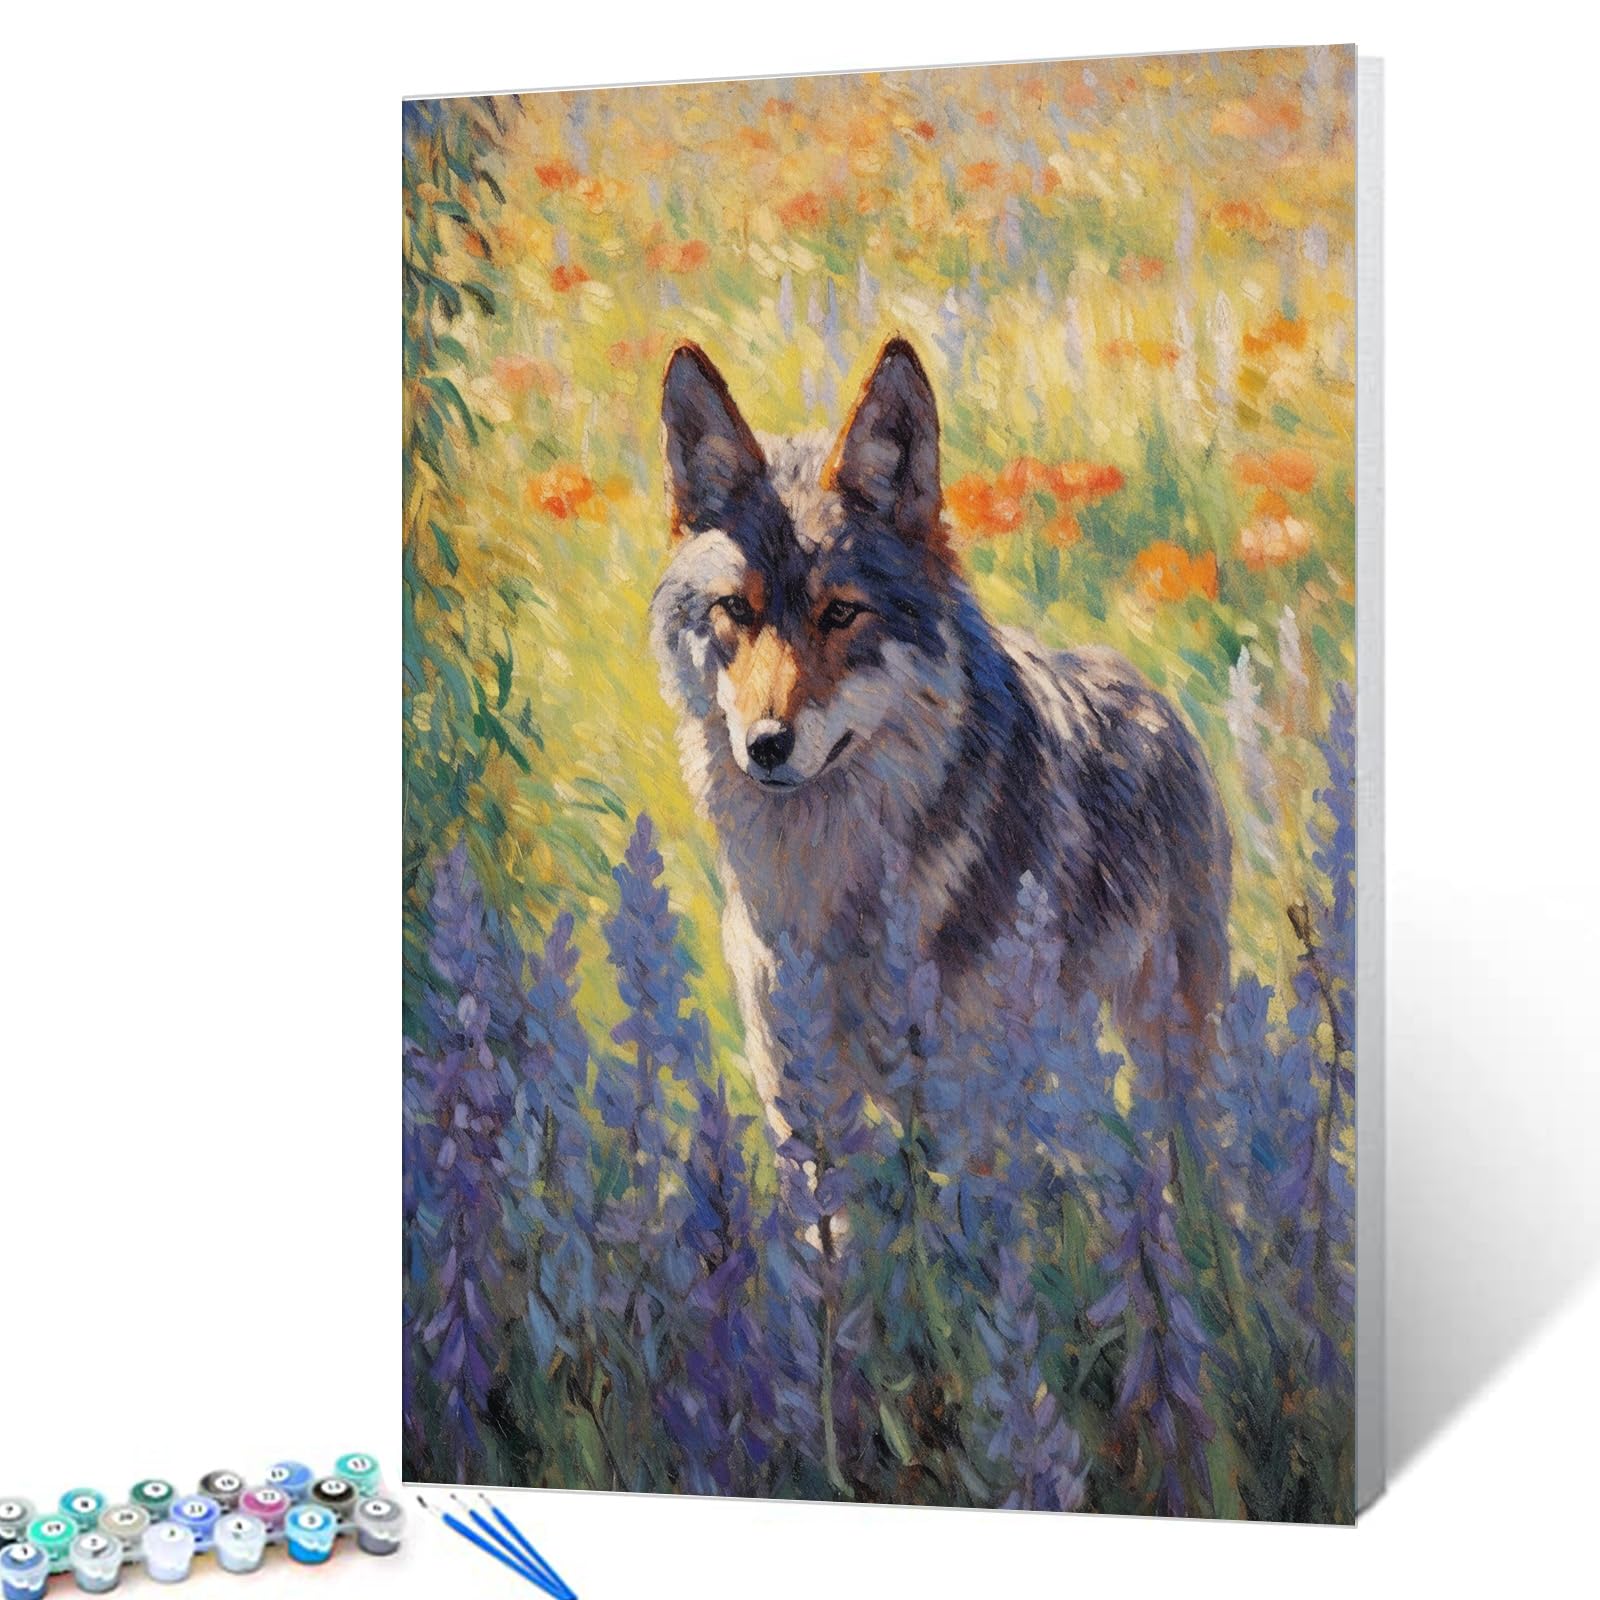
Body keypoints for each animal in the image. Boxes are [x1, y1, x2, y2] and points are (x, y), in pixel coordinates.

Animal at [650, 337, 1231, 1134]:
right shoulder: (802, 1099)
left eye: (841, 613)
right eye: (737, 608)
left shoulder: (963, 1104)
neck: (829, 897)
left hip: (1162, 1046)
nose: (766, 744)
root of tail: (1141, 682)